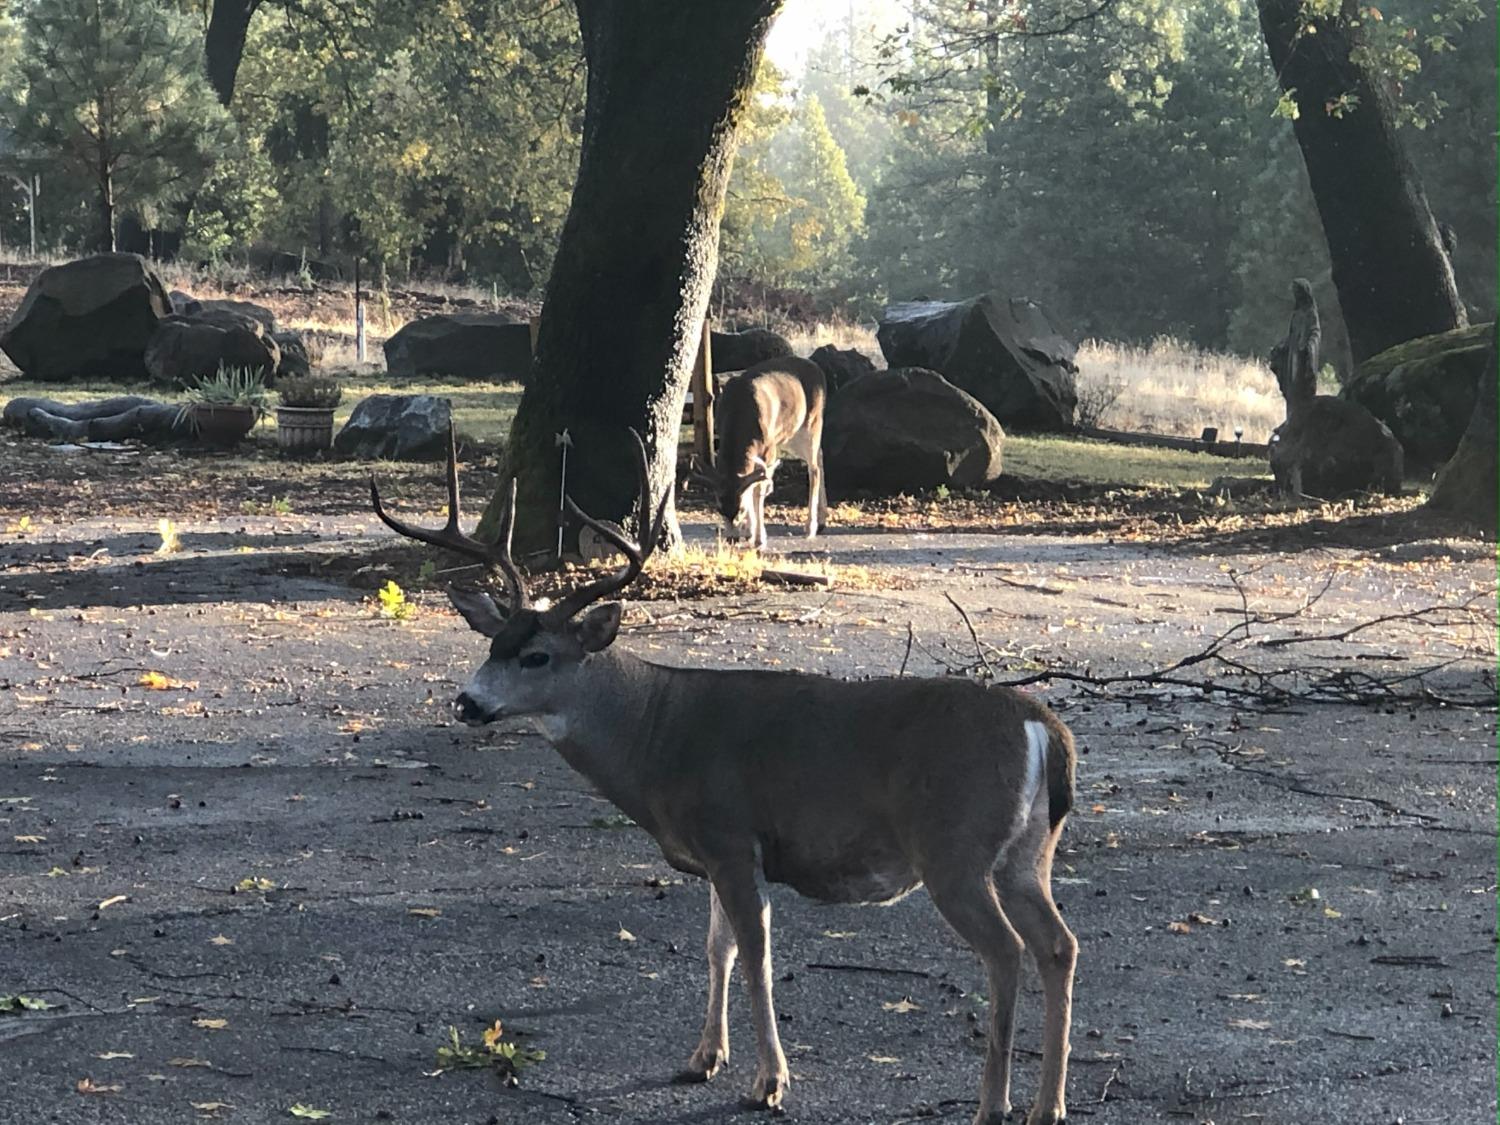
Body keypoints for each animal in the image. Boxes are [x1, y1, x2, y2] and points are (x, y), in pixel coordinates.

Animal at [370, 426, 1086, 1122]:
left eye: (538, 656)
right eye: (493, 645)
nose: (467, 702)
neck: (656, 731)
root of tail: (1040, 725)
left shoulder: (733, 836)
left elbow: (756, 960)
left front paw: (769, 1082)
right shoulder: (715, 851)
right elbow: (719, 948)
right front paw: (702, 1059)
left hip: (953, 845)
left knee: (1006, 950)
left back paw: (993, 1105)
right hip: (1026, 853)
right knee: (1058, 945)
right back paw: (1048, 1106)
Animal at [705, 357, 828, 552]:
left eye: (741, 509)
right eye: (719, 508)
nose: (731, 538)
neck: (739, 412)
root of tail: (817, 368)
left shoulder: (769, 447)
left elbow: (758, 491)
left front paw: (759, 539)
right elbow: (751, 486)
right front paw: (749, 531)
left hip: (811, 423)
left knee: (814, 469)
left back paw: (811, 527)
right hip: (790, 437)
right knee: (820, 456)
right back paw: (822, 520)